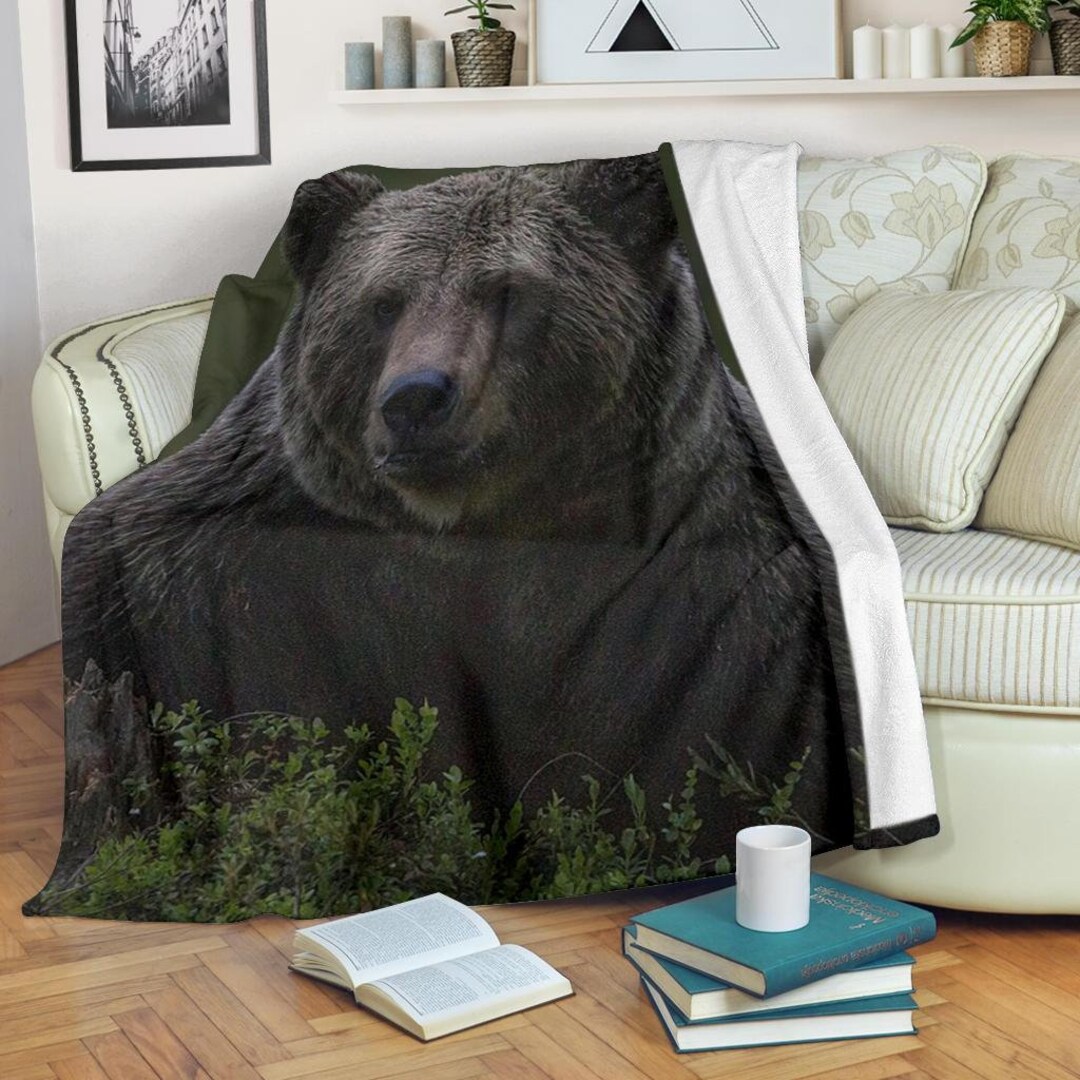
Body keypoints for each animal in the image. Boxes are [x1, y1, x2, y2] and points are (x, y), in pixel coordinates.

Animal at [56, 154, 859, 905]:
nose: (416, 398)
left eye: (509, 292)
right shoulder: (217, 573)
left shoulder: (706, 614)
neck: (477, 532)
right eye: (383, 303)